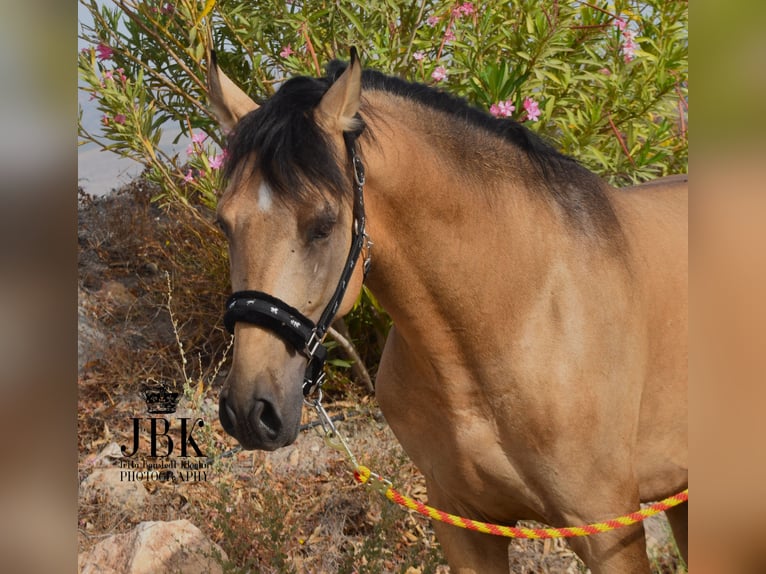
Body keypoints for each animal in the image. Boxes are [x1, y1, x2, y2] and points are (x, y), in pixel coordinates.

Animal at [206, 50, 688, 574]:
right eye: (224, 223)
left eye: (323, 224)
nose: (249, 411)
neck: (521, 312)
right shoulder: (462, 523)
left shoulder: (607, 529)